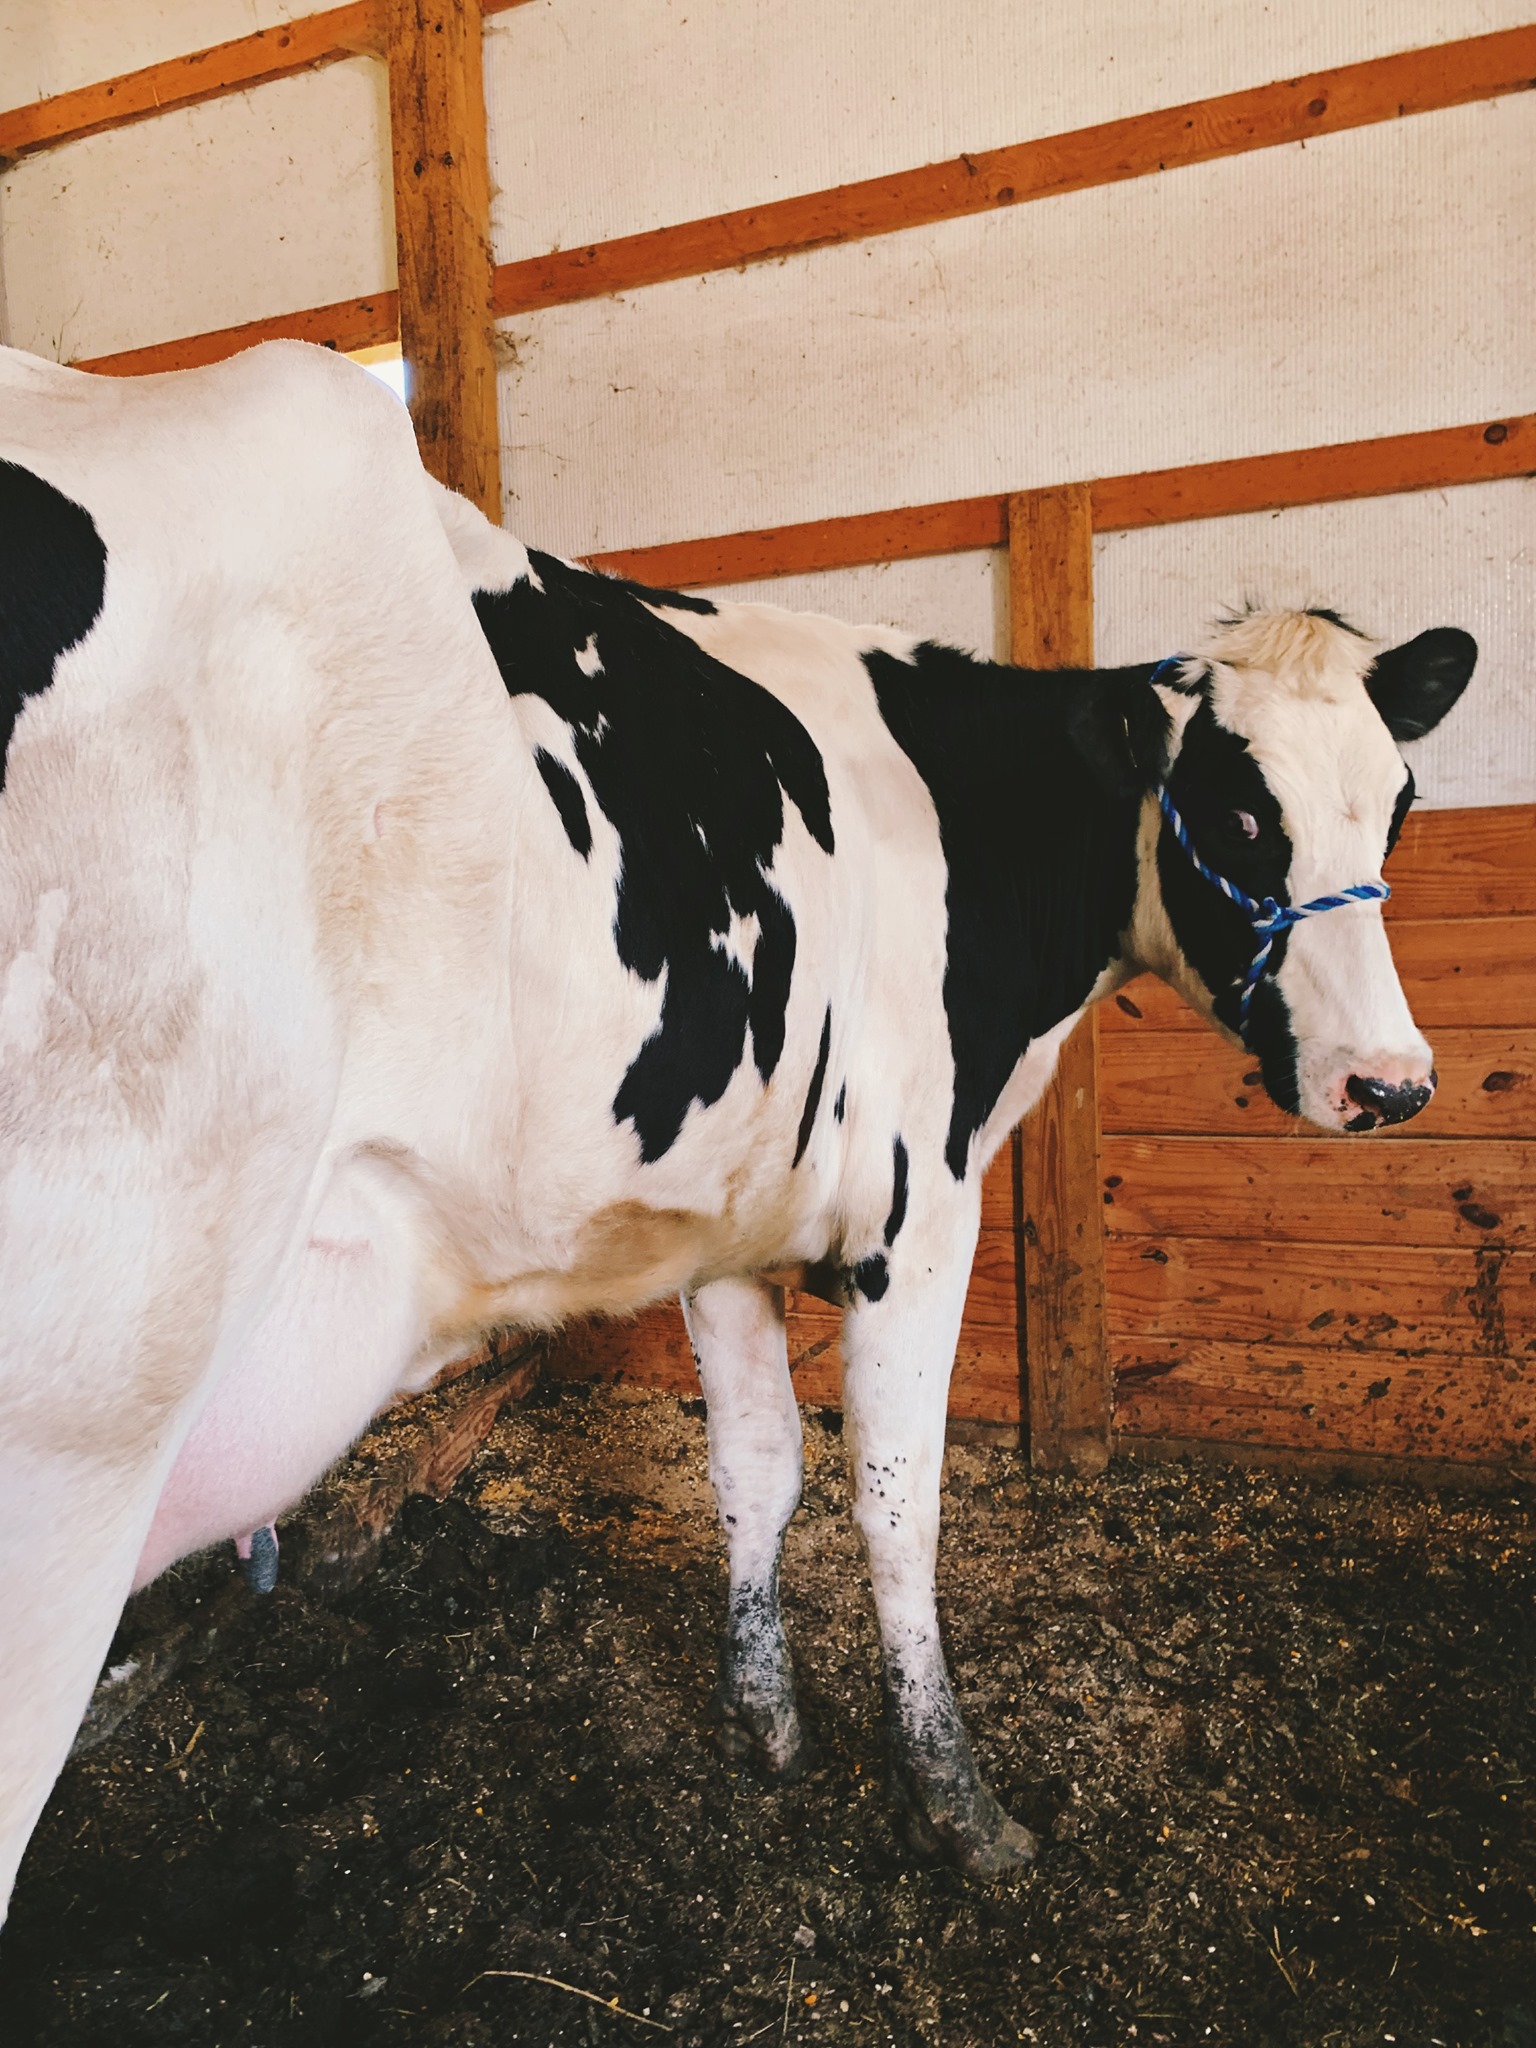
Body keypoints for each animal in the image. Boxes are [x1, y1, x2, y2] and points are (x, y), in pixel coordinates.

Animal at [0, 340, 1475, 1914]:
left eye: (1399, 802)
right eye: (1240, 815)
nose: (1390, 1082)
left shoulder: (723, 1217)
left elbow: (756, 1470)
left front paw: (763, 1719)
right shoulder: (921, 1208)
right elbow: (897, 1504)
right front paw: (955, 1799)